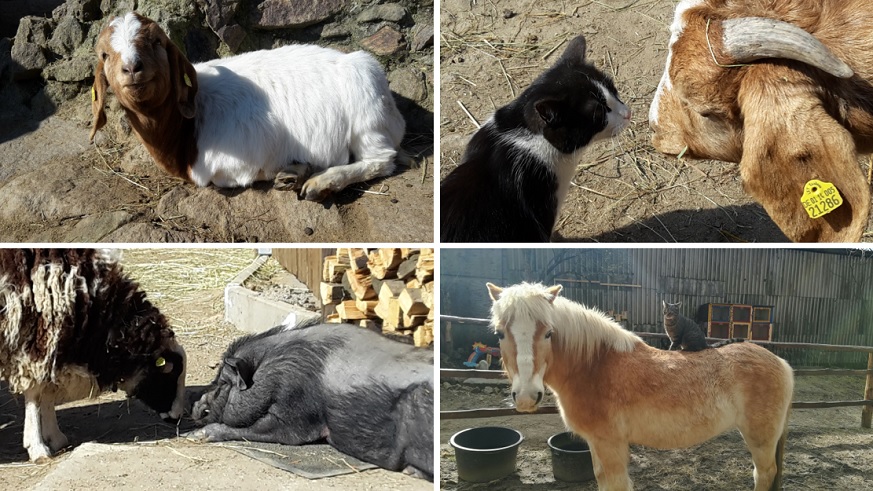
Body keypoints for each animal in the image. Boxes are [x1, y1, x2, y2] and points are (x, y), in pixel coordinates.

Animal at [0, 249, 187, 462]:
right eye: (169, 374)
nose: (177, 418)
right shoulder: (35, 338)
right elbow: (35, 392)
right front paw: (38, 446)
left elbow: (47, 390)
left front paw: (55, 437)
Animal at [90, 12, 405, 202]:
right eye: (105, 55)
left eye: (157, 42)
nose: (132, 68)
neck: (186, 127)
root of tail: (396, 115)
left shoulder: (234, 167)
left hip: (366, 113)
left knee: (381, 160)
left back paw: (320, 182)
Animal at [486, 281, 794, 491]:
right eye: (499, 333)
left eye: (549, 333)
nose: (527, 397)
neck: (595, 365)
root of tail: (781, 363)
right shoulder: (597, 446)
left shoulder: (609, 444)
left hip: (760, 438)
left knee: (764, 473)